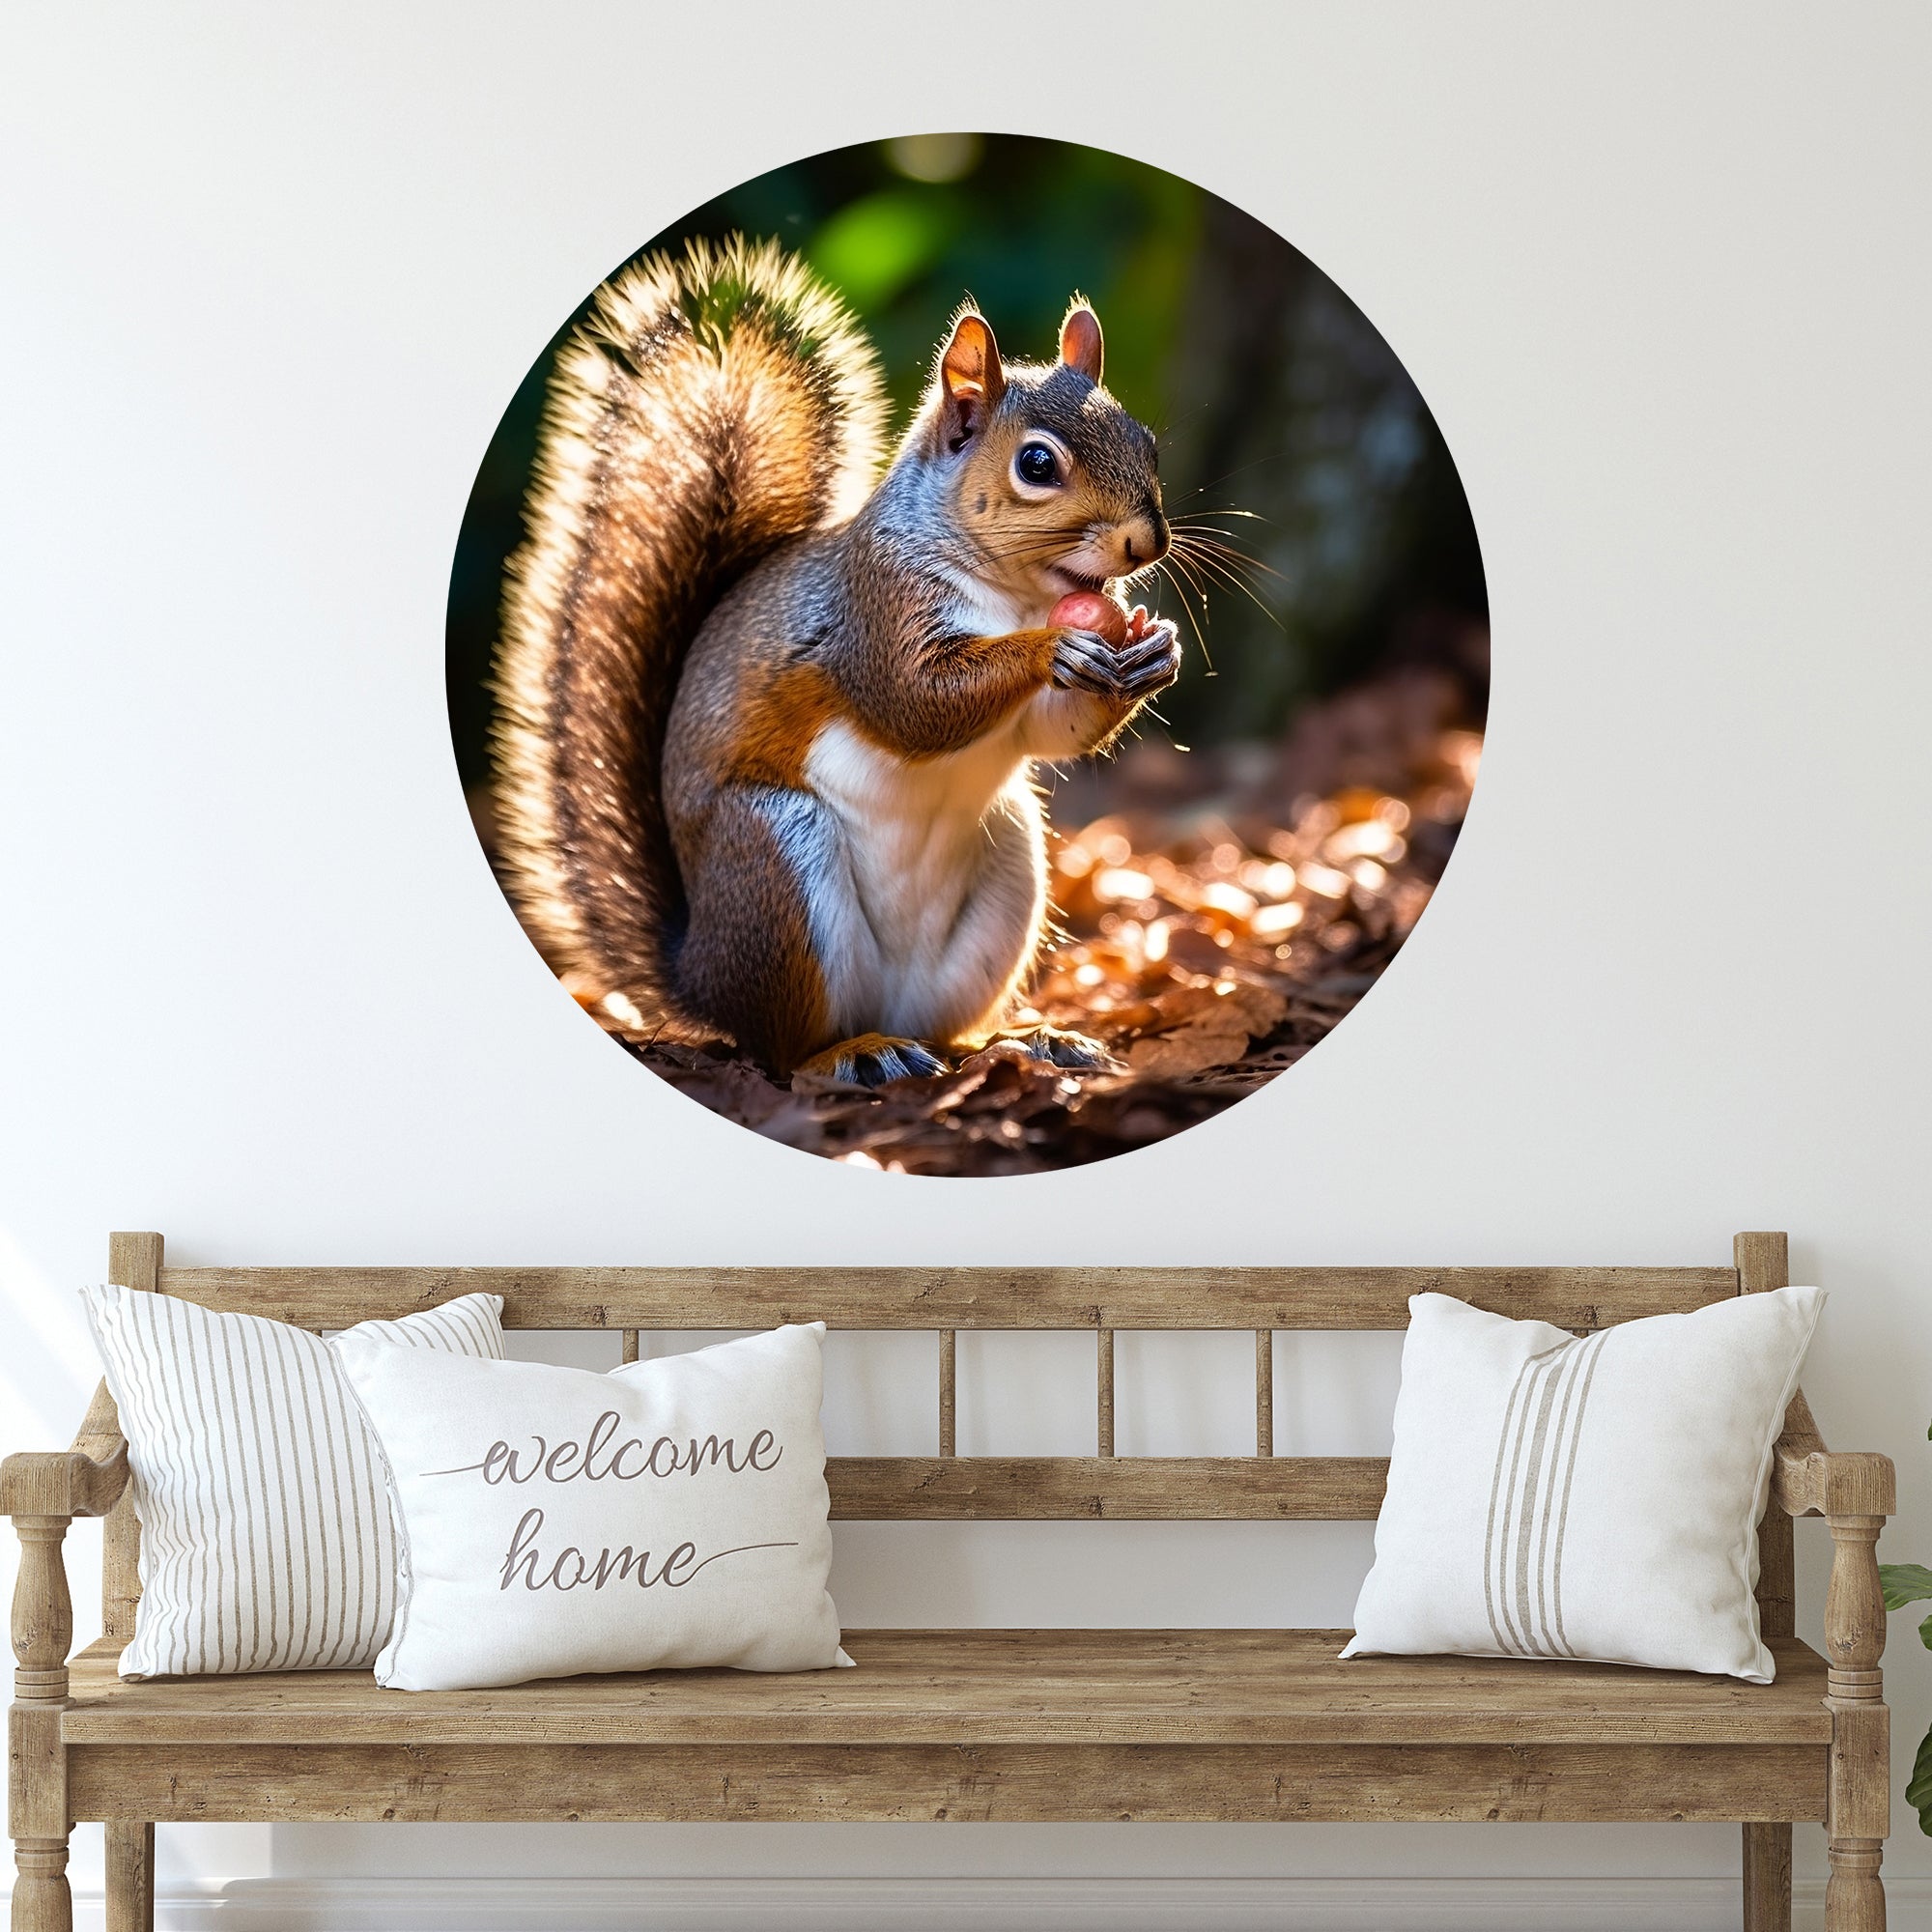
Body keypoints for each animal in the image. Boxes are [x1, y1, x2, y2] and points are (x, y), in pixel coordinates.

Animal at [492, 237, 1180, 1087]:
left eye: (1147, 442)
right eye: (1038, 465)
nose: (1147, 543)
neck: (1019, 596)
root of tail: (698, 978)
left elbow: (1052, 732)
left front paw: (1154, 649)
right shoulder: (871, 615)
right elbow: (915, 704)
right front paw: (1055, 648)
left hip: (1007, 867)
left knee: (944, 1031)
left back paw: (1019, 1040)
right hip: (778, 859)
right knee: (786, 1050)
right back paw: (853, 1053)